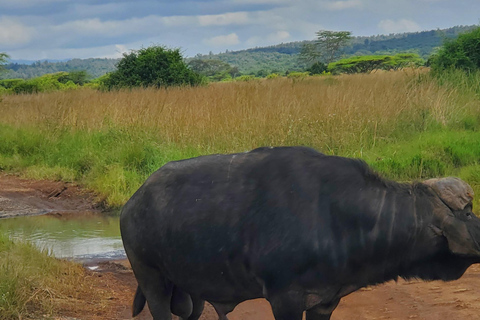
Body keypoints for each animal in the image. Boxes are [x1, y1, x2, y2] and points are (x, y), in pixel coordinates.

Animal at [119, 146, 476, 318]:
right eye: (470, 211)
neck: (336, 215)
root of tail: (131, 204)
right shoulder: (285, 300)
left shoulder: (325, 303)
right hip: (152, 280)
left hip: (191, 290)